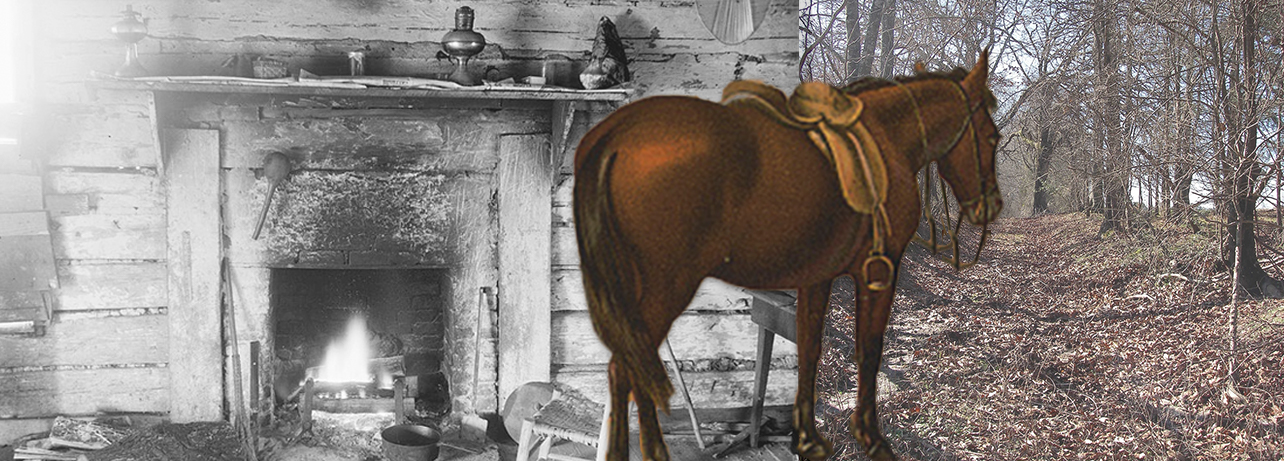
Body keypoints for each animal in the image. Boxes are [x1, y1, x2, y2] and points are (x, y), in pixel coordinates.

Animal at [572, 52, 1001, 459]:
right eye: (991, 136)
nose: (990, 206)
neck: (885, 143)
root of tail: (615, 135)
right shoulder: (879, 274)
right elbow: (869, 350)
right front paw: (871, 438)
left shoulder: (816, 278)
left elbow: (810, 350)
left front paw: (809, 438)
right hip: (666, 289)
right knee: (627, 371)